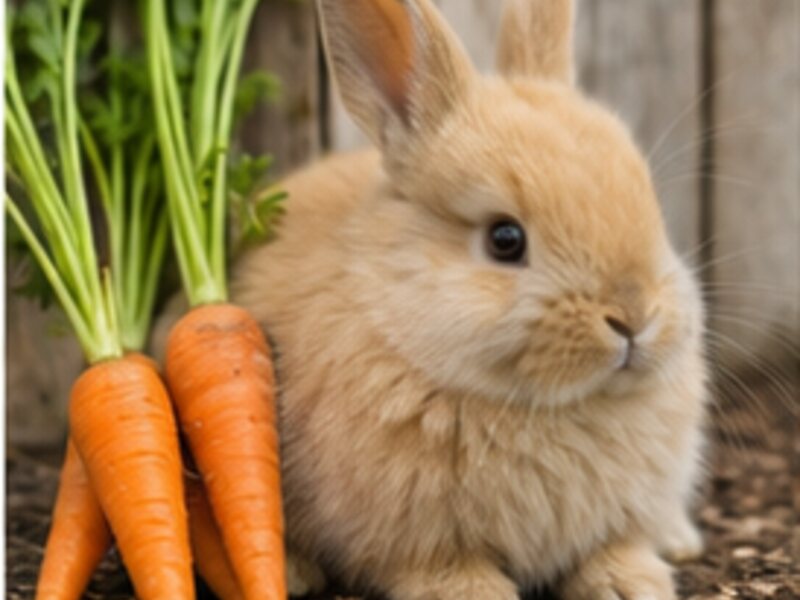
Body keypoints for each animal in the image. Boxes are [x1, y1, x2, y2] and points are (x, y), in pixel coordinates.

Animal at [232, 0, 709, 598]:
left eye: (651, 207)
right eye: (505, 239)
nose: (634, 317)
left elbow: (613, 546)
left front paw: (632, 584)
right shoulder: (412, 538)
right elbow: (440, 566)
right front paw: (475, 592)